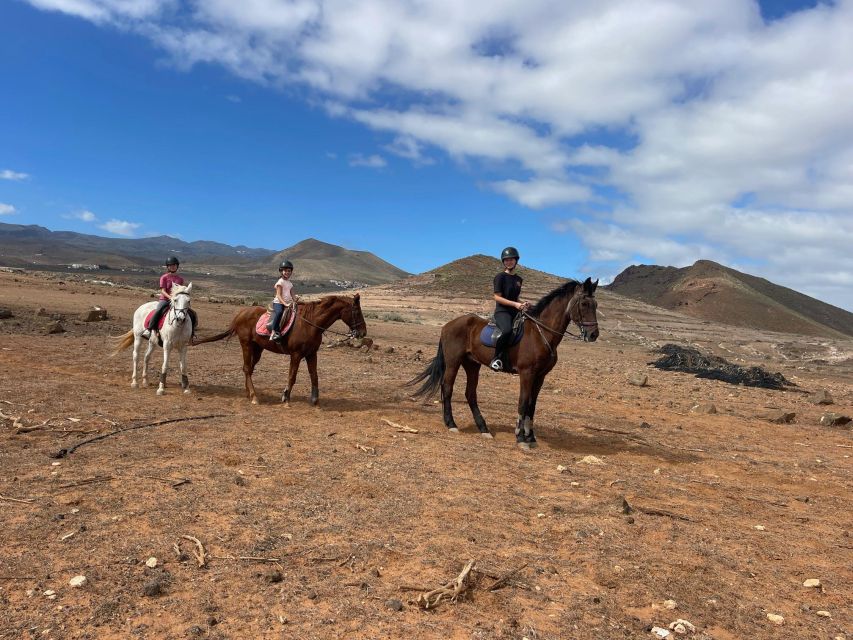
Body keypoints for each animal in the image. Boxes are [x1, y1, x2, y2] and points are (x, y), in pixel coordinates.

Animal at [193, 294, 366, 404]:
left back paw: (248, 393)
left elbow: (314, 376)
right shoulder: (296, 355)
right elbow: (292, 376)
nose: (363, 332)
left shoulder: (312, 354)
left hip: (257, 348)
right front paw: (285, 396)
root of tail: (241, 314)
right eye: (357, 311)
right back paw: (254, 397)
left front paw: (315, 399)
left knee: (248, 369)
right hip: (246, 344)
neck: (310, 324)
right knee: (247, 368)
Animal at [408, 278, 596, 448]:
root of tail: (448, 325)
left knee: (470, 394)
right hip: (453, 362)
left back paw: (483, 429)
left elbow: (532, 405)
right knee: (447, 388)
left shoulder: (540, 376)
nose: (594, 334)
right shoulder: (526, 373)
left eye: (596, 304)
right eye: (584, 303)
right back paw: (451, 424)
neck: (541, 333)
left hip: (472, 364)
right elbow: (523, 402)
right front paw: (520, 438)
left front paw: (531, 437)